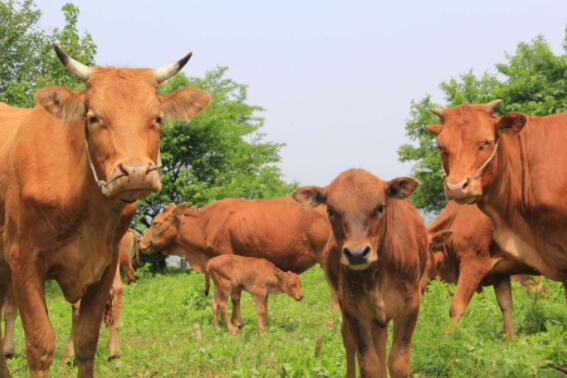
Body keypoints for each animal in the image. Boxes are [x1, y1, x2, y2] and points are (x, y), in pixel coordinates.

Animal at [292, 169, 426, 378]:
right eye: (330, 210)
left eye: (380, 207)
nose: (356, 254)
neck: (376, 275)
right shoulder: (353, 308)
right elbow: (369, 364)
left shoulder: (410, 303)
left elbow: (398, 363)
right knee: (349, 338)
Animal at [428, 202, 544, 338]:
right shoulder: (500, 275)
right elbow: (505, 305)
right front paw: (509, 340)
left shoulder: (473, 264)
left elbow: (457, 306)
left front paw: (445, 338)